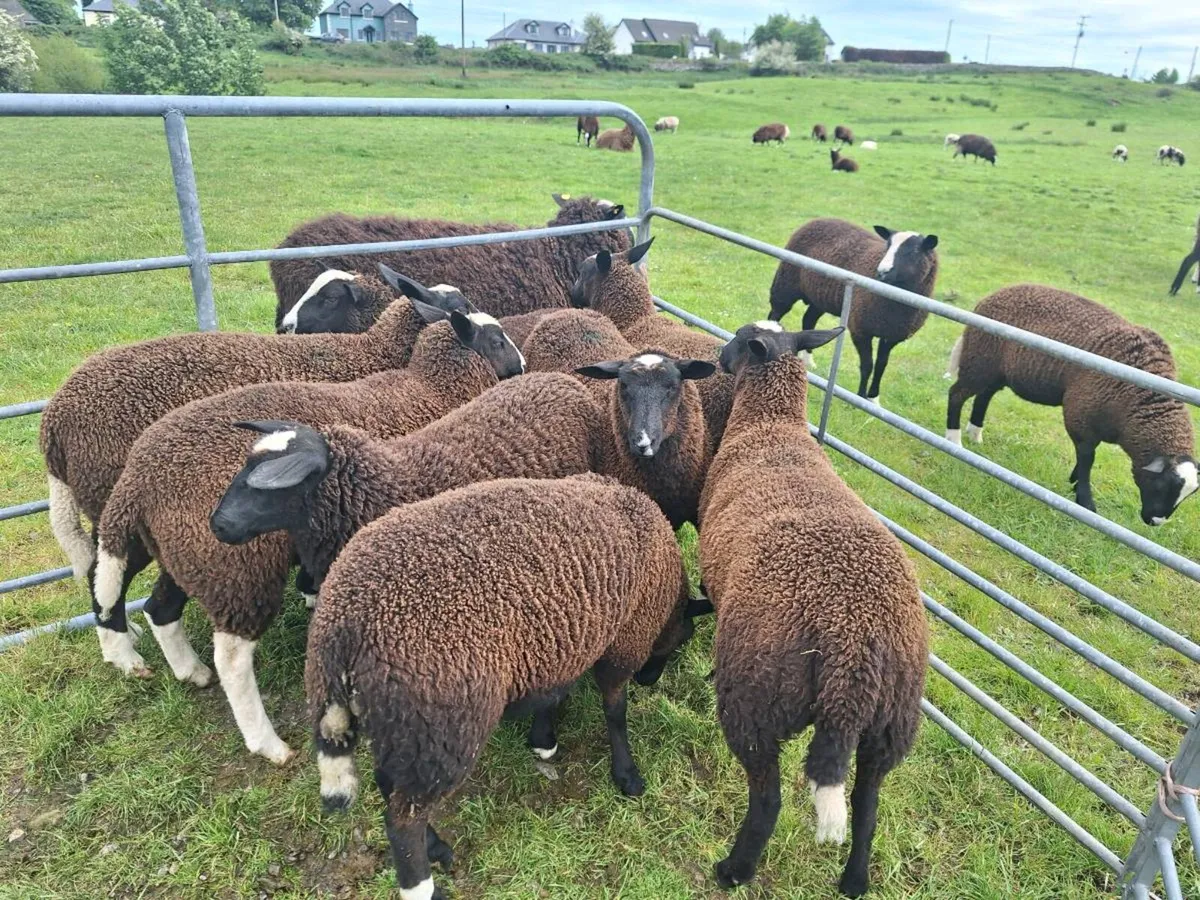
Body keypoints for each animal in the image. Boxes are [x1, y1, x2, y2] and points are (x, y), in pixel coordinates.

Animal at [90, 311, 524, 764]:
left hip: (189, 557)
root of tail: (137, 479)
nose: (523, 365)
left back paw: (187, 671)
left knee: (156, 607)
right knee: (230, 656)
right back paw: (267, 743)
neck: (426, 387)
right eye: (496, 340)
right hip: (237, 572)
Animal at [304, 475, 692, 900]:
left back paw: (435, 846)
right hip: (442, 726)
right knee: (402, 820)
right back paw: (424, 884)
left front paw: (544, 739)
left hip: (403, 722)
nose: (650, 679)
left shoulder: (562, 641)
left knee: (391, 786)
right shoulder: (625, 639)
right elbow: (615, 711)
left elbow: (556, 693)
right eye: (681, 639)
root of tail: (341, 630)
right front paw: (627, 774)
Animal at [699, 322, 927, 897]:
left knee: (768, 799)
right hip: (890, 725)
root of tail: (853, 647)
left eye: (739, 339)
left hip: (756, 698)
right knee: (867, 807)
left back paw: (733, 870)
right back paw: (855, 880)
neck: (771, 426)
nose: (719, 357)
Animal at [768, 218, 940, 402]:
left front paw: (873, 398)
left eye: (915, 251)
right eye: (887, 246)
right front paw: (860, 397)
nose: (882, 272)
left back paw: (808, 361)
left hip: (820, 298)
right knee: (776, 312)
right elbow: (867, 364)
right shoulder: (860, 329)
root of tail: (818, 219)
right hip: (786, 282)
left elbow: (881, 365)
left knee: (809, 319)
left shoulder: (892, 336)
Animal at [945, 284, 1197, 524]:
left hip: (995, 370)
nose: (1155, 522)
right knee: (957, 394)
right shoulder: (1080, 414)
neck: (1134, 405)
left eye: (1189, 495)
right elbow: (1087, 458)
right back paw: (954, 440)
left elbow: (1086, 456)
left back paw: (975, 434)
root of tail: (988, 298)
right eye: (1161, 485)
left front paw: (1074, 482)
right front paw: (1085, 501)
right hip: (979, 360)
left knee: (984, 396)